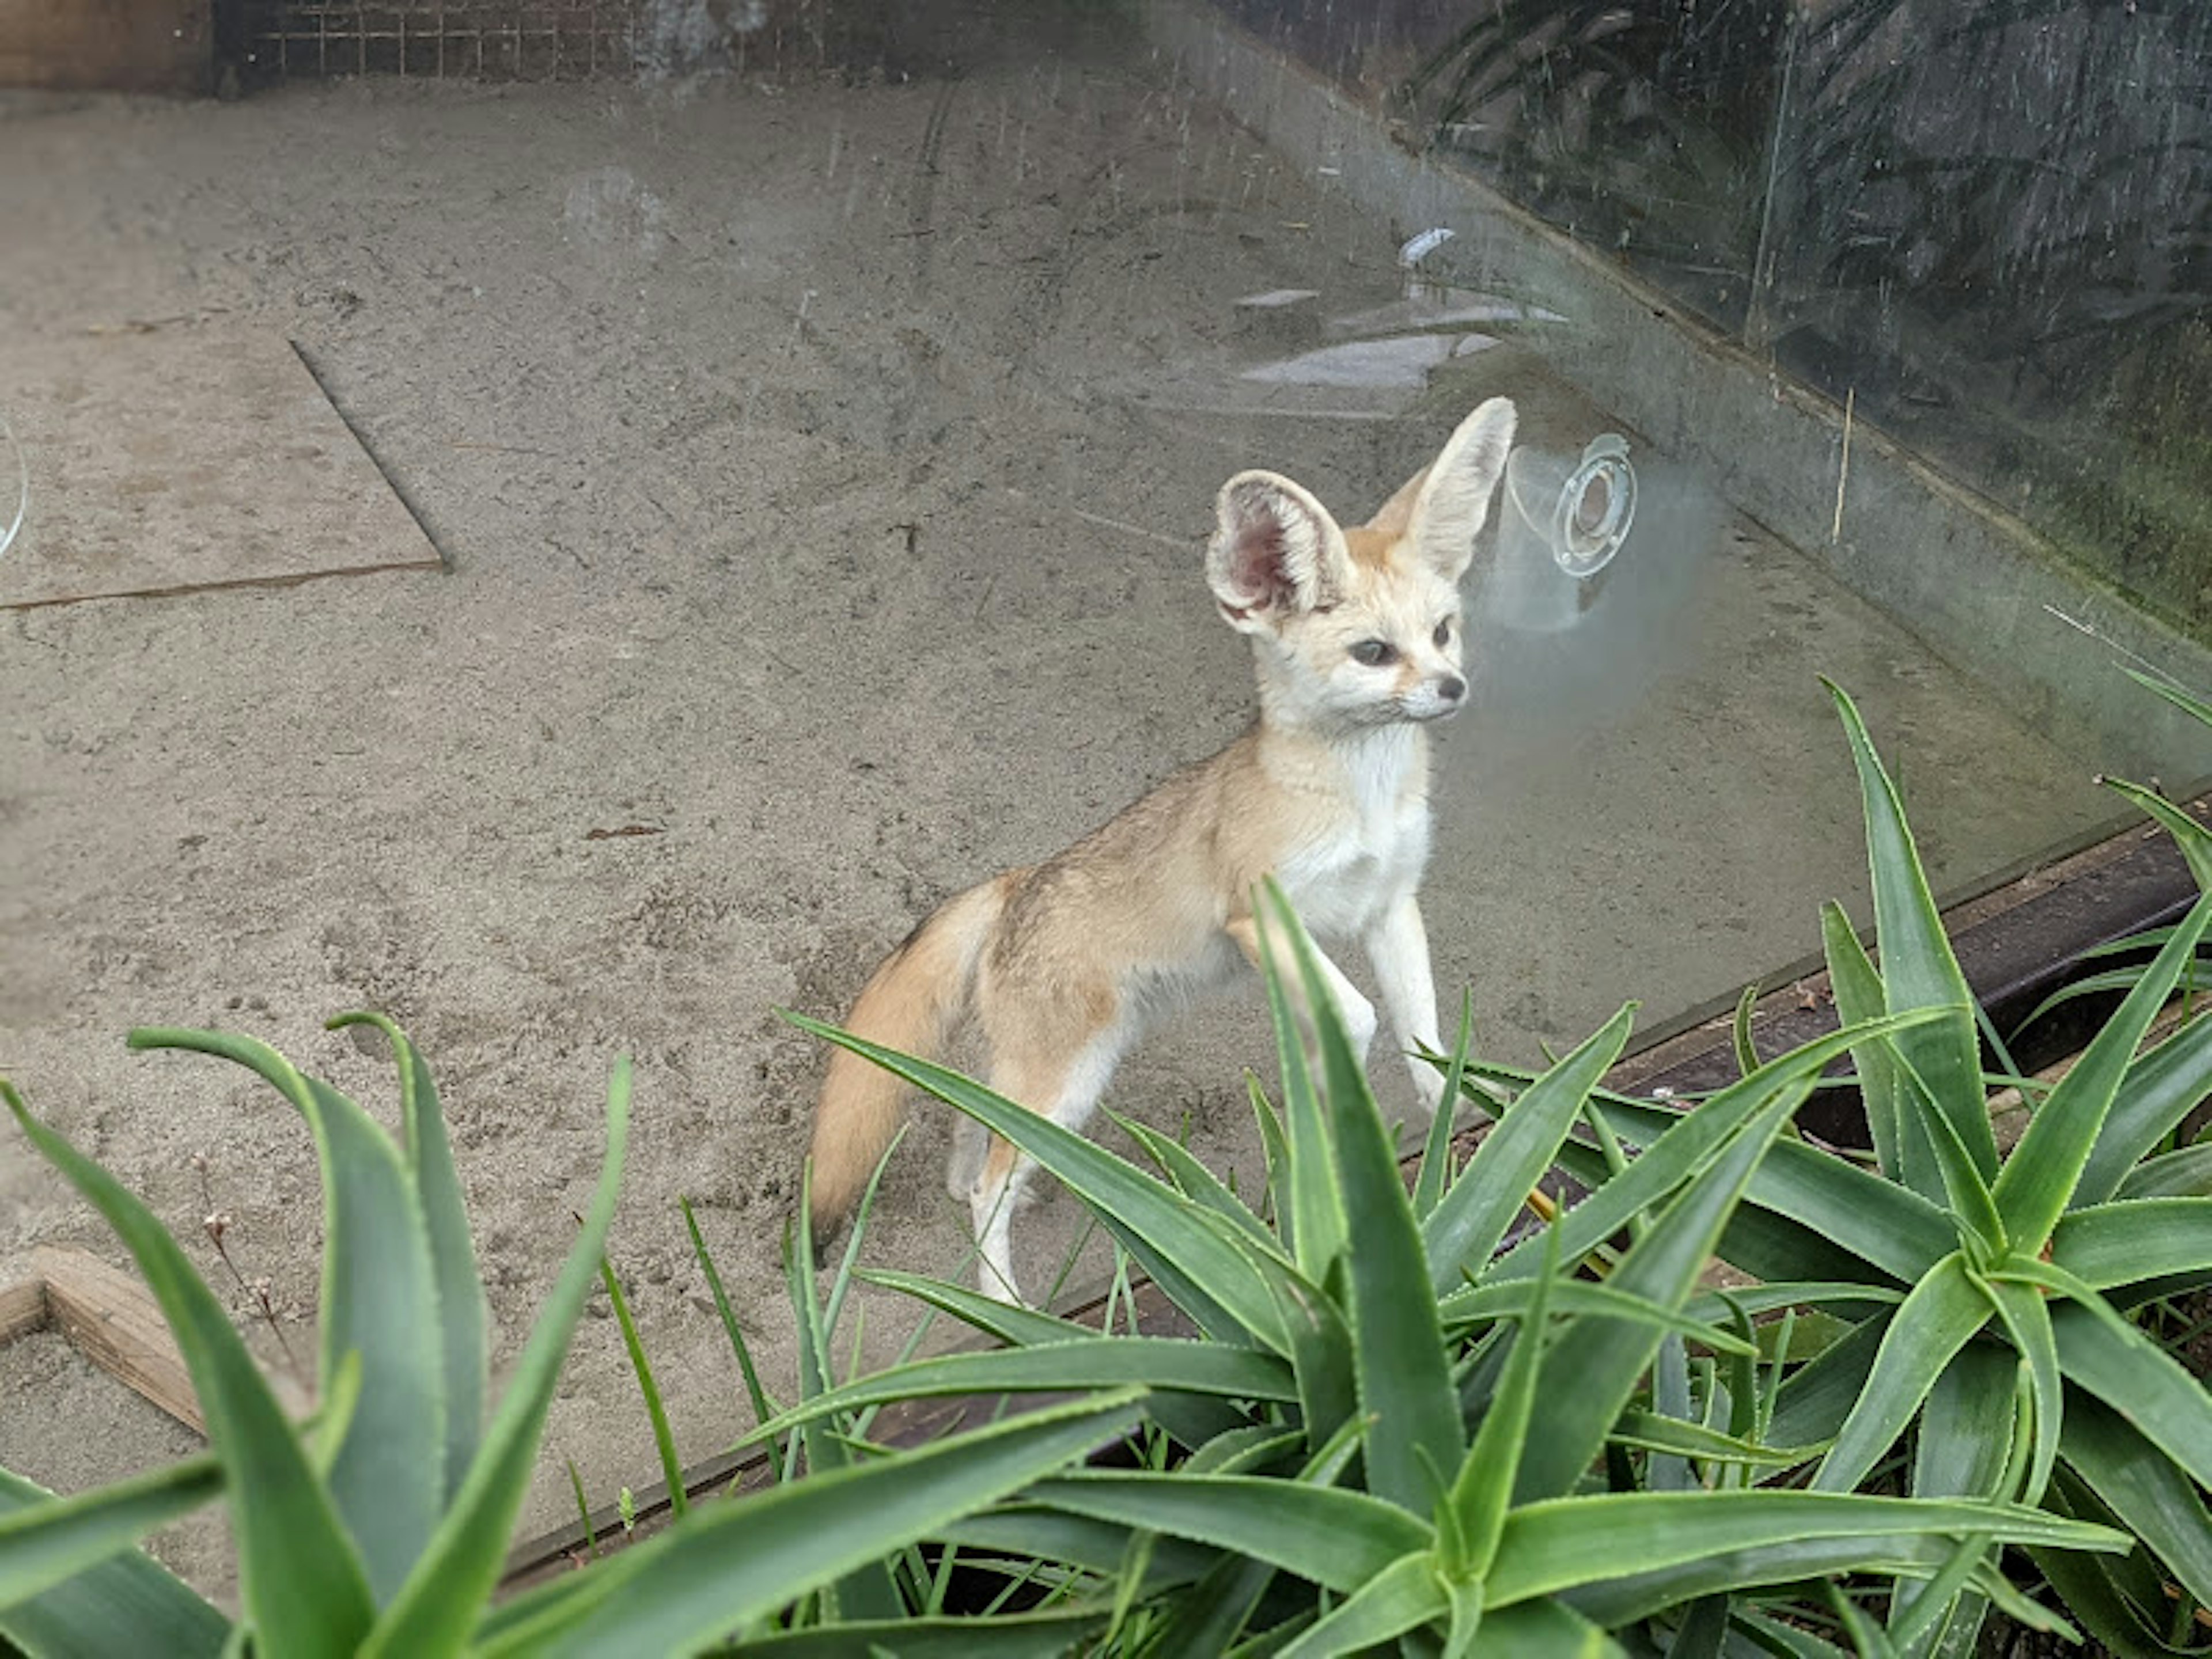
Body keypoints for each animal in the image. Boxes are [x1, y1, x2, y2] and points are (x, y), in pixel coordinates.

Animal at [814, 396, 1521, 1309]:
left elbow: (1424, 1031)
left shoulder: (1391, 903)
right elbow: (1362, 1017)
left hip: (1049, 1079)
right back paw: (1008, 1311)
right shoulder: (1263, 917)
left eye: (1443, 633)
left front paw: (1463, 1123)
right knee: (988, 1185)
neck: (1359, 801)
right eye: (1374, 653)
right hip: (1067, 1082)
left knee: (971, 1129)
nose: (1453, 688)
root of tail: (1017, 881)